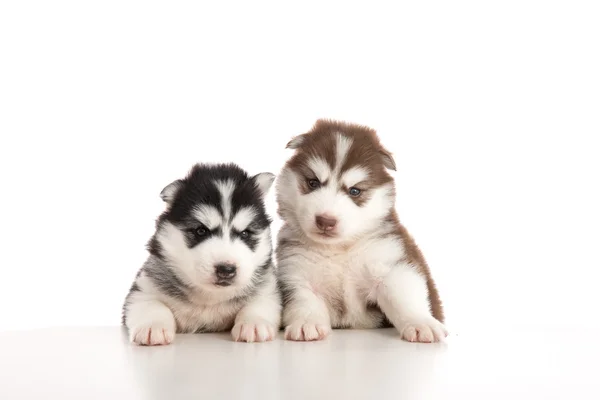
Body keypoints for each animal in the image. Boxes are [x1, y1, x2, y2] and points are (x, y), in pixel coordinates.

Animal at [123, 162, 282, 344]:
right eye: (201, 231)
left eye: (245, 233)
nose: (226, 270)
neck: (210, 297)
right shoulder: (142, 290)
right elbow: (151, 304)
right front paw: (153, 325)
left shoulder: (269, 289)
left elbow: (260, 303)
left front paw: (255, 323)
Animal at [274, 119, 448, 340]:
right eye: (313, 183)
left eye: (354, 191)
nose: (325, 221)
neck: (339, 248)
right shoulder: (296, 272)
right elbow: (304, 300)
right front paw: (307, 324)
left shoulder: (390, 264)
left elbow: (403, 296)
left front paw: (421, 323)